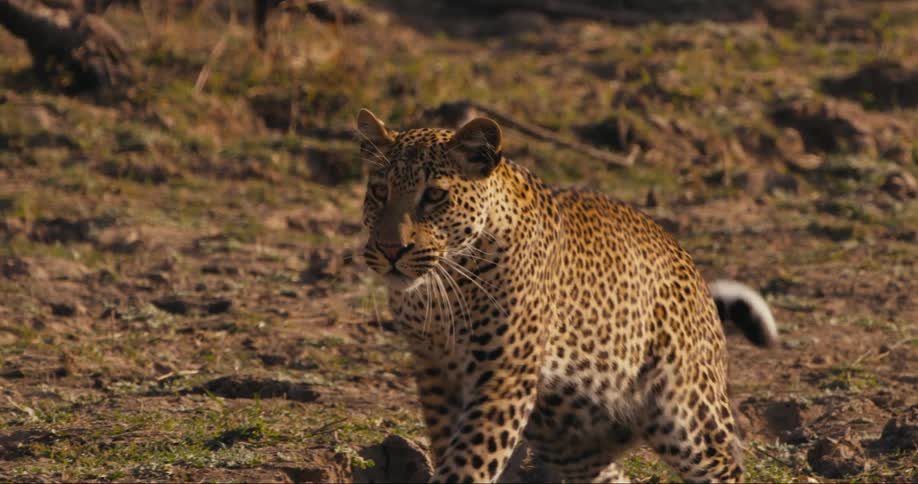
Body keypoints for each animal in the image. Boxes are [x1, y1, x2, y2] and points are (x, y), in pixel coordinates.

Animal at [355, 108, 778, 483]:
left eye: (435, 196)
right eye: (378, 191)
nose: (391, 250)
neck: (442, 284)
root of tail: (693, 272)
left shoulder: (503, 375)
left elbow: (469, 460)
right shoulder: (435, 372)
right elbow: (450, 446)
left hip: (686, 413)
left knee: (725, 466)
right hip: (567, 435)